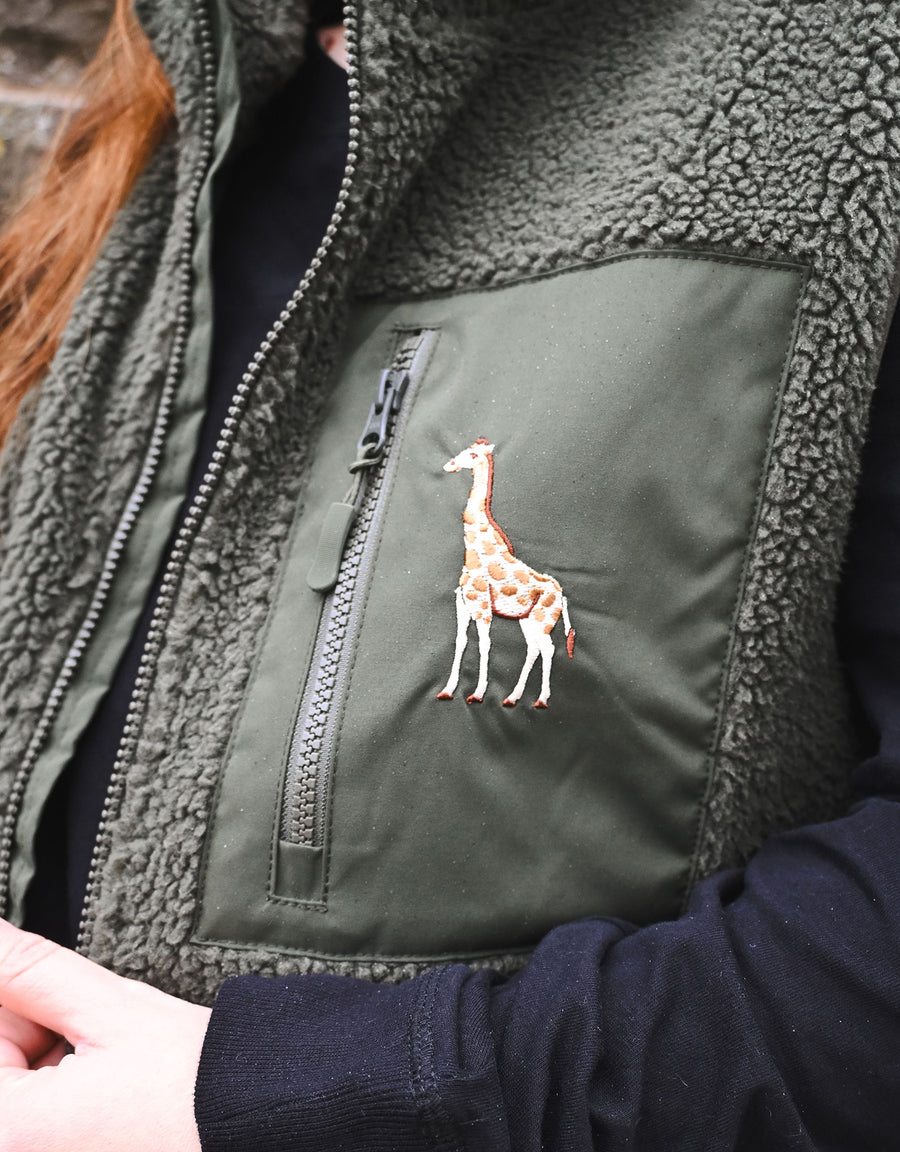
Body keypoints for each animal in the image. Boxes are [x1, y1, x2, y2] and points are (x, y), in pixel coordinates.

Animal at [436, 439, 575, 708]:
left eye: (473, 454)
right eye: (464, 450)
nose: (450, 464)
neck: (475, 553)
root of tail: (562, 596)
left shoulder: (482, 608)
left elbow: (485, 644)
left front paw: (477, 693)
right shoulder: (462, 604)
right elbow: (460, 642)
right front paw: (447, 690)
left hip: (543, 619)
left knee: (548, 648)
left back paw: (541, 700)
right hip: (527, 620)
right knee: (535, 648)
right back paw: (513, 697)